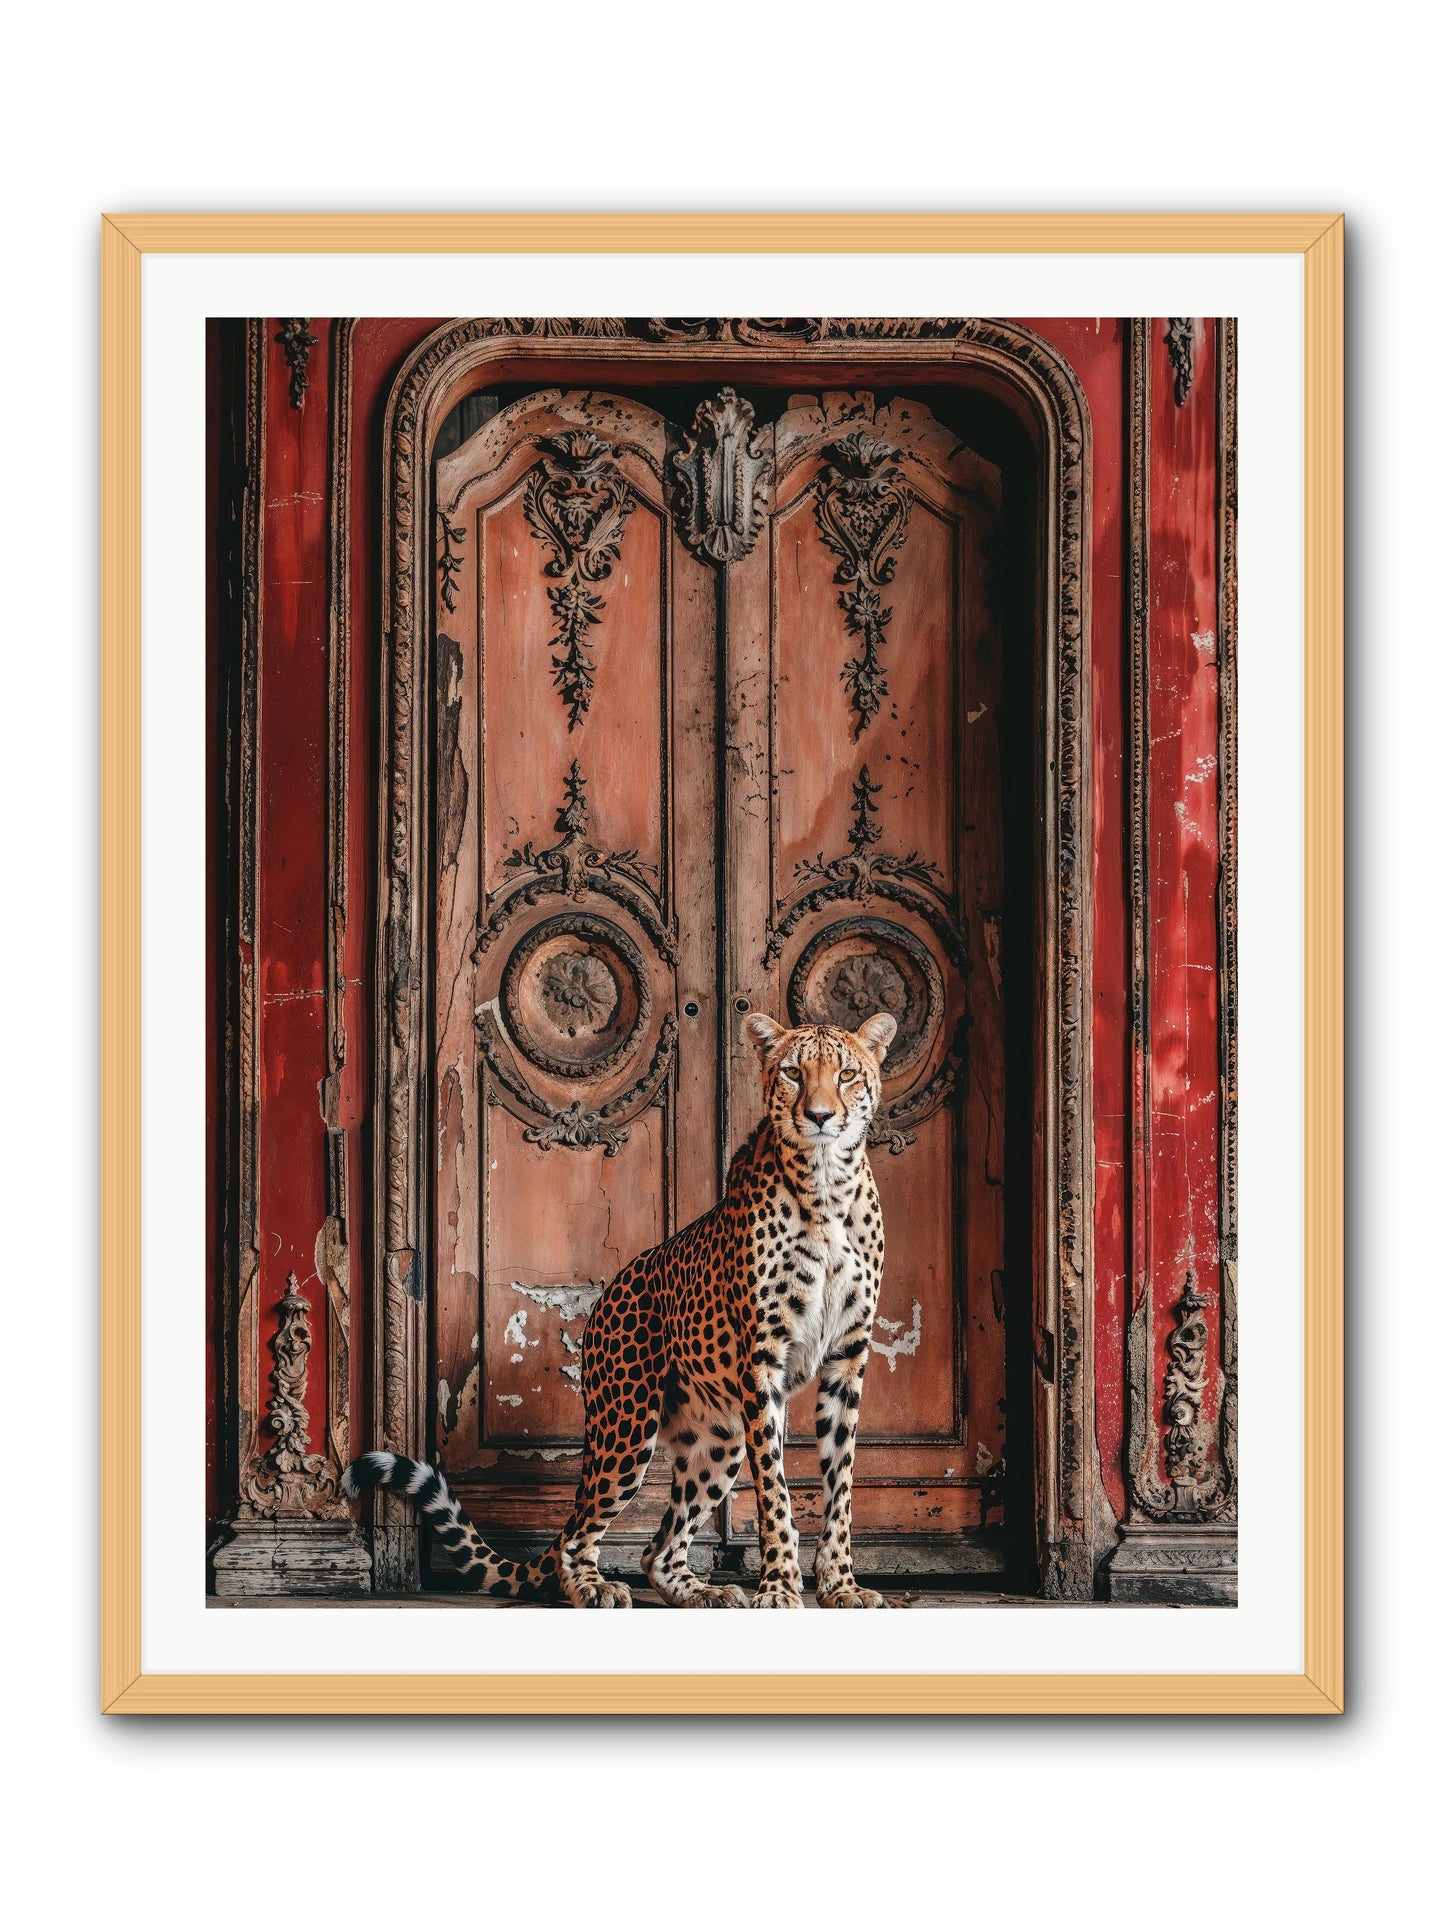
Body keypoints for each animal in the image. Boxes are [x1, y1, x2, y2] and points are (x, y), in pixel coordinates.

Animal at [343, 1008, 898, 1608]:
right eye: (794, 1073)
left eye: (846, 1074)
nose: (820, 1116)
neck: (827, 1187)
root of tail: (608, 1292)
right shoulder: (763, 1360)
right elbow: (775, 1487)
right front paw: (778, 1587)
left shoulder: (847, 1356)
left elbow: (840, 1484)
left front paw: (841, 1586)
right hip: (627, 1426)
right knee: (577, 1534)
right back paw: (595, 1586)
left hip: (719, 1439)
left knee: (656, 1550)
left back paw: (704, 1592)